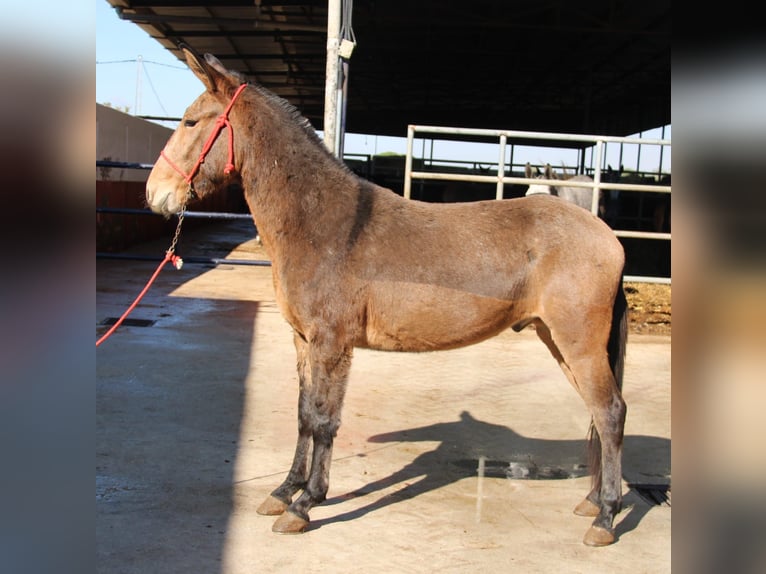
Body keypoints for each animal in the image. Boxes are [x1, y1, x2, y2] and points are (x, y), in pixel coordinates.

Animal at [146, 47, 628, 547]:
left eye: (190, 122)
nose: (154, 194)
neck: (323, 224)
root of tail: (606, 236)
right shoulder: (304, 342)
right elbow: (304, 416)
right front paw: (283, 491)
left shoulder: (331, 344)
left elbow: (323, 419)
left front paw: (305, 504)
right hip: (559, 342)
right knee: (599, 414)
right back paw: (593, 502)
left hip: (579, 344)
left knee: (610, 413)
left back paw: (605, 518)